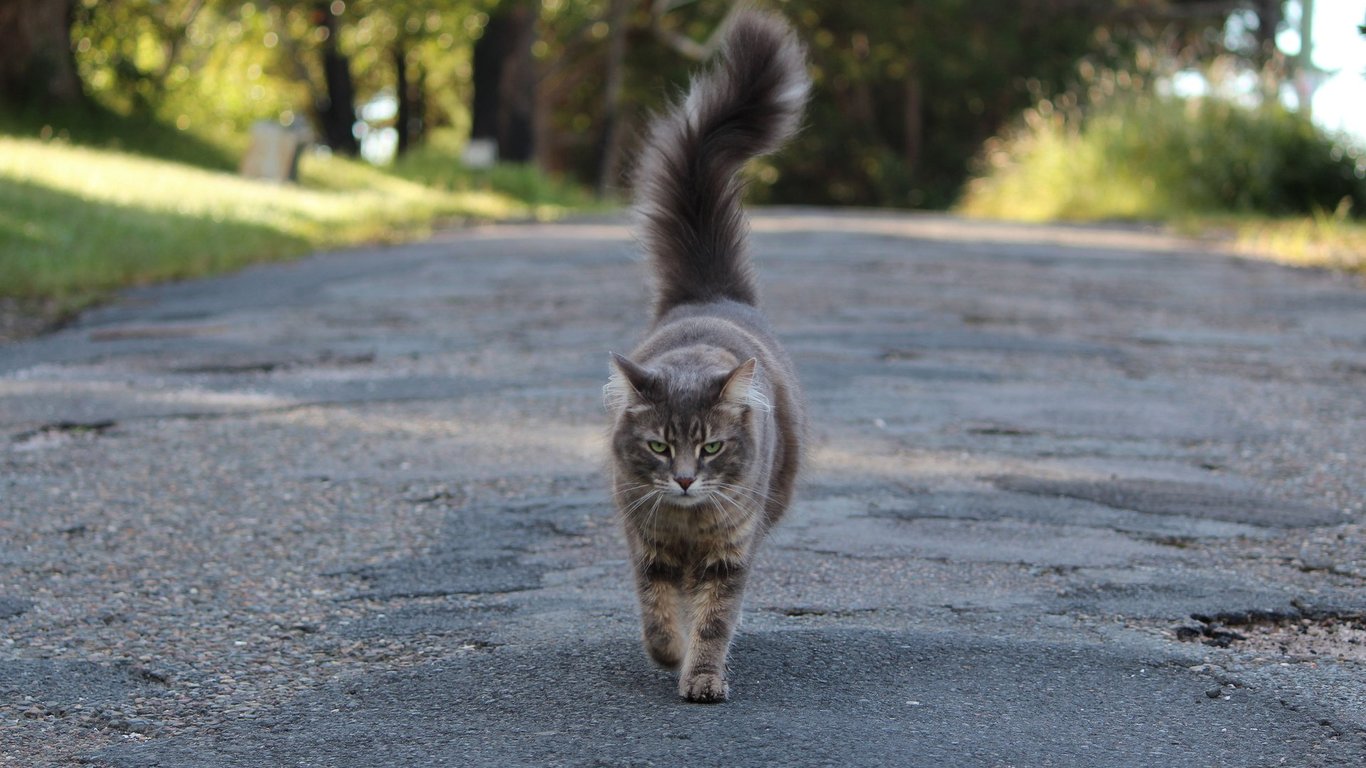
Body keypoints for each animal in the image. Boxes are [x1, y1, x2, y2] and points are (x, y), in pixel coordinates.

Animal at [603, 11, 803, 705]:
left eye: (711, 447)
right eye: (661, 447)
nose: (687, 480)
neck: (688, 526)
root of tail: (710, 294)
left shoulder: (729, 553)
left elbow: (714, 620)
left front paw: (703, 677)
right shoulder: (647, 543)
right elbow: (658, 612)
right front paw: (669, 655)